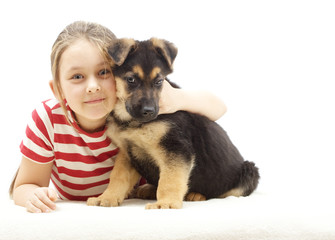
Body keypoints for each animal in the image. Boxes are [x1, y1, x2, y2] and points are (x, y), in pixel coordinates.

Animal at [86, 38, 260, 209]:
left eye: (159, 81)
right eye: (131, 79)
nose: (149, 111)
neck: (132, 122)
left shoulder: (175, 148)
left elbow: (170, 179)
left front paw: (166, 203)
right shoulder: (128, 152)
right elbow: (118, 177)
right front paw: (107, 197)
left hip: (249, 171)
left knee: (221, 193)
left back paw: (196, 194)